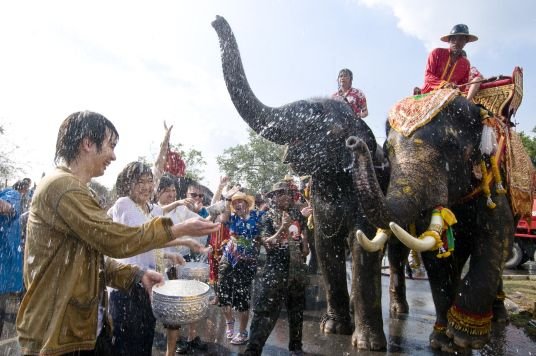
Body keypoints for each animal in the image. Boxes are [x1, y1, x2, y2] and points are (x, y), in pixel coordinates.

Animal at [210, 15, 410, 350]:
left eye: (315, 115)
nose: (216, 19)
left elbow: (362, 243)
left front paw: (367, 344)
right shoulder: (319, 193)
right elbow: (326, 245)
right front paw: (333, 328)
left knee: (388, 252)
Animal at [346, 90, 516, 352]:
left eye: (451, 146)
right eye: (389, 150)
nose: (354, 142)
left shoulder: (493, 181)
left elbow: (497, 239)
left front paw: (465, 338)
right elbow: (436, 258)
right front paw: (443, 341)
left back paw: (499, 317)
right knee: (398, 255)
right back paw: (399, 310)